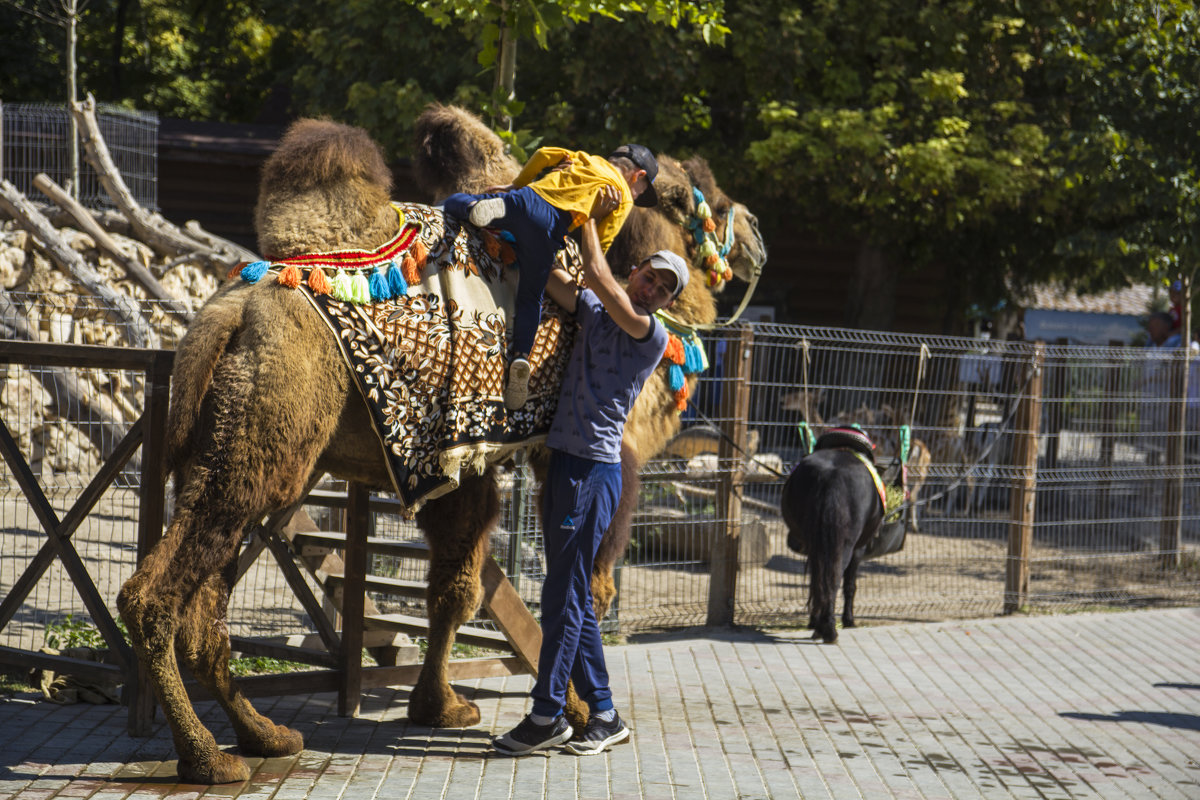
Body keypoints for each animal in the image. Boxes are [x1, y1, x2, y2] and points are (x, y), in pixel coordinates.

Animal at [117, 106, 763, 782]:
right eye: (707, 198)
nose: (755, 237)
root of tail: (229, 314)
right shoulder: (582, 452)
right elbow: (585, 585)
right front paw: (581, 713)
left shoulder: (463, 464)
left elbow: (457, 586)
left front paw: (440, 706)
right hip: (261, 448)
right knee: (154, 598)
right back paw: (208, 758)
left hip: (232, 455)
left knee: (203, 612)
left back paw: (264, 735)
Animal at [777, 424, 902, 642]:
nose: (794, 543)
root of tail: (831, 476)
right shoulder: (858, 549)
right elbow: (850, 585)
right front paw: (848, 620)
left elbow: (815, 581)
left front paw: (813, 620)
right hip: (844, 545)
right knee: (834, 578)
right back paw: (829, 630)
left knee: (821, 580)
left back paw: (821, 626)